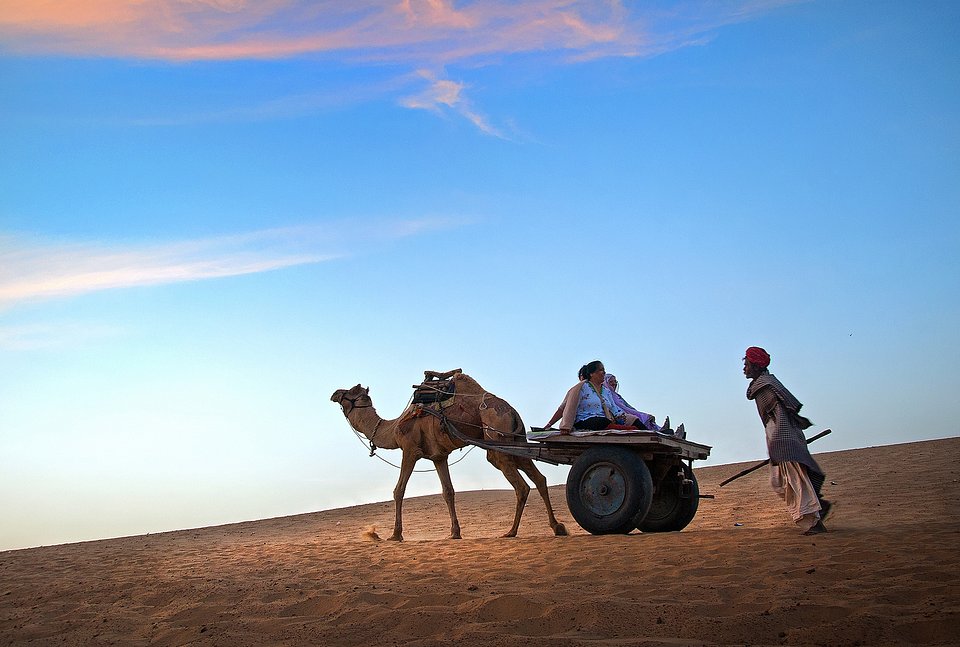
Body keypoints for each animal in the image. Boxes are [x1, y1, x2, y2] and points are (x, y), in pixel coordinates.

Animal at [334, 370, 568, 540]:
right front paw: (455, 533)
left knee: (521, 485)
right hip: (516, 442)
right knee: (539, 479)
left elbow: (399, 490)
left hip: (497, 442)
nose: (334, 393)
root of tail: (512, 412)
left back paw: (511, 532)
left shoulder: (409, 450)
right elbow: (448, 492)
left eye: (350, 392)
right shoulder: (439, 456)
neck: (392, 428)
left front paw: (395, 535)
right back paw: (557, 527)